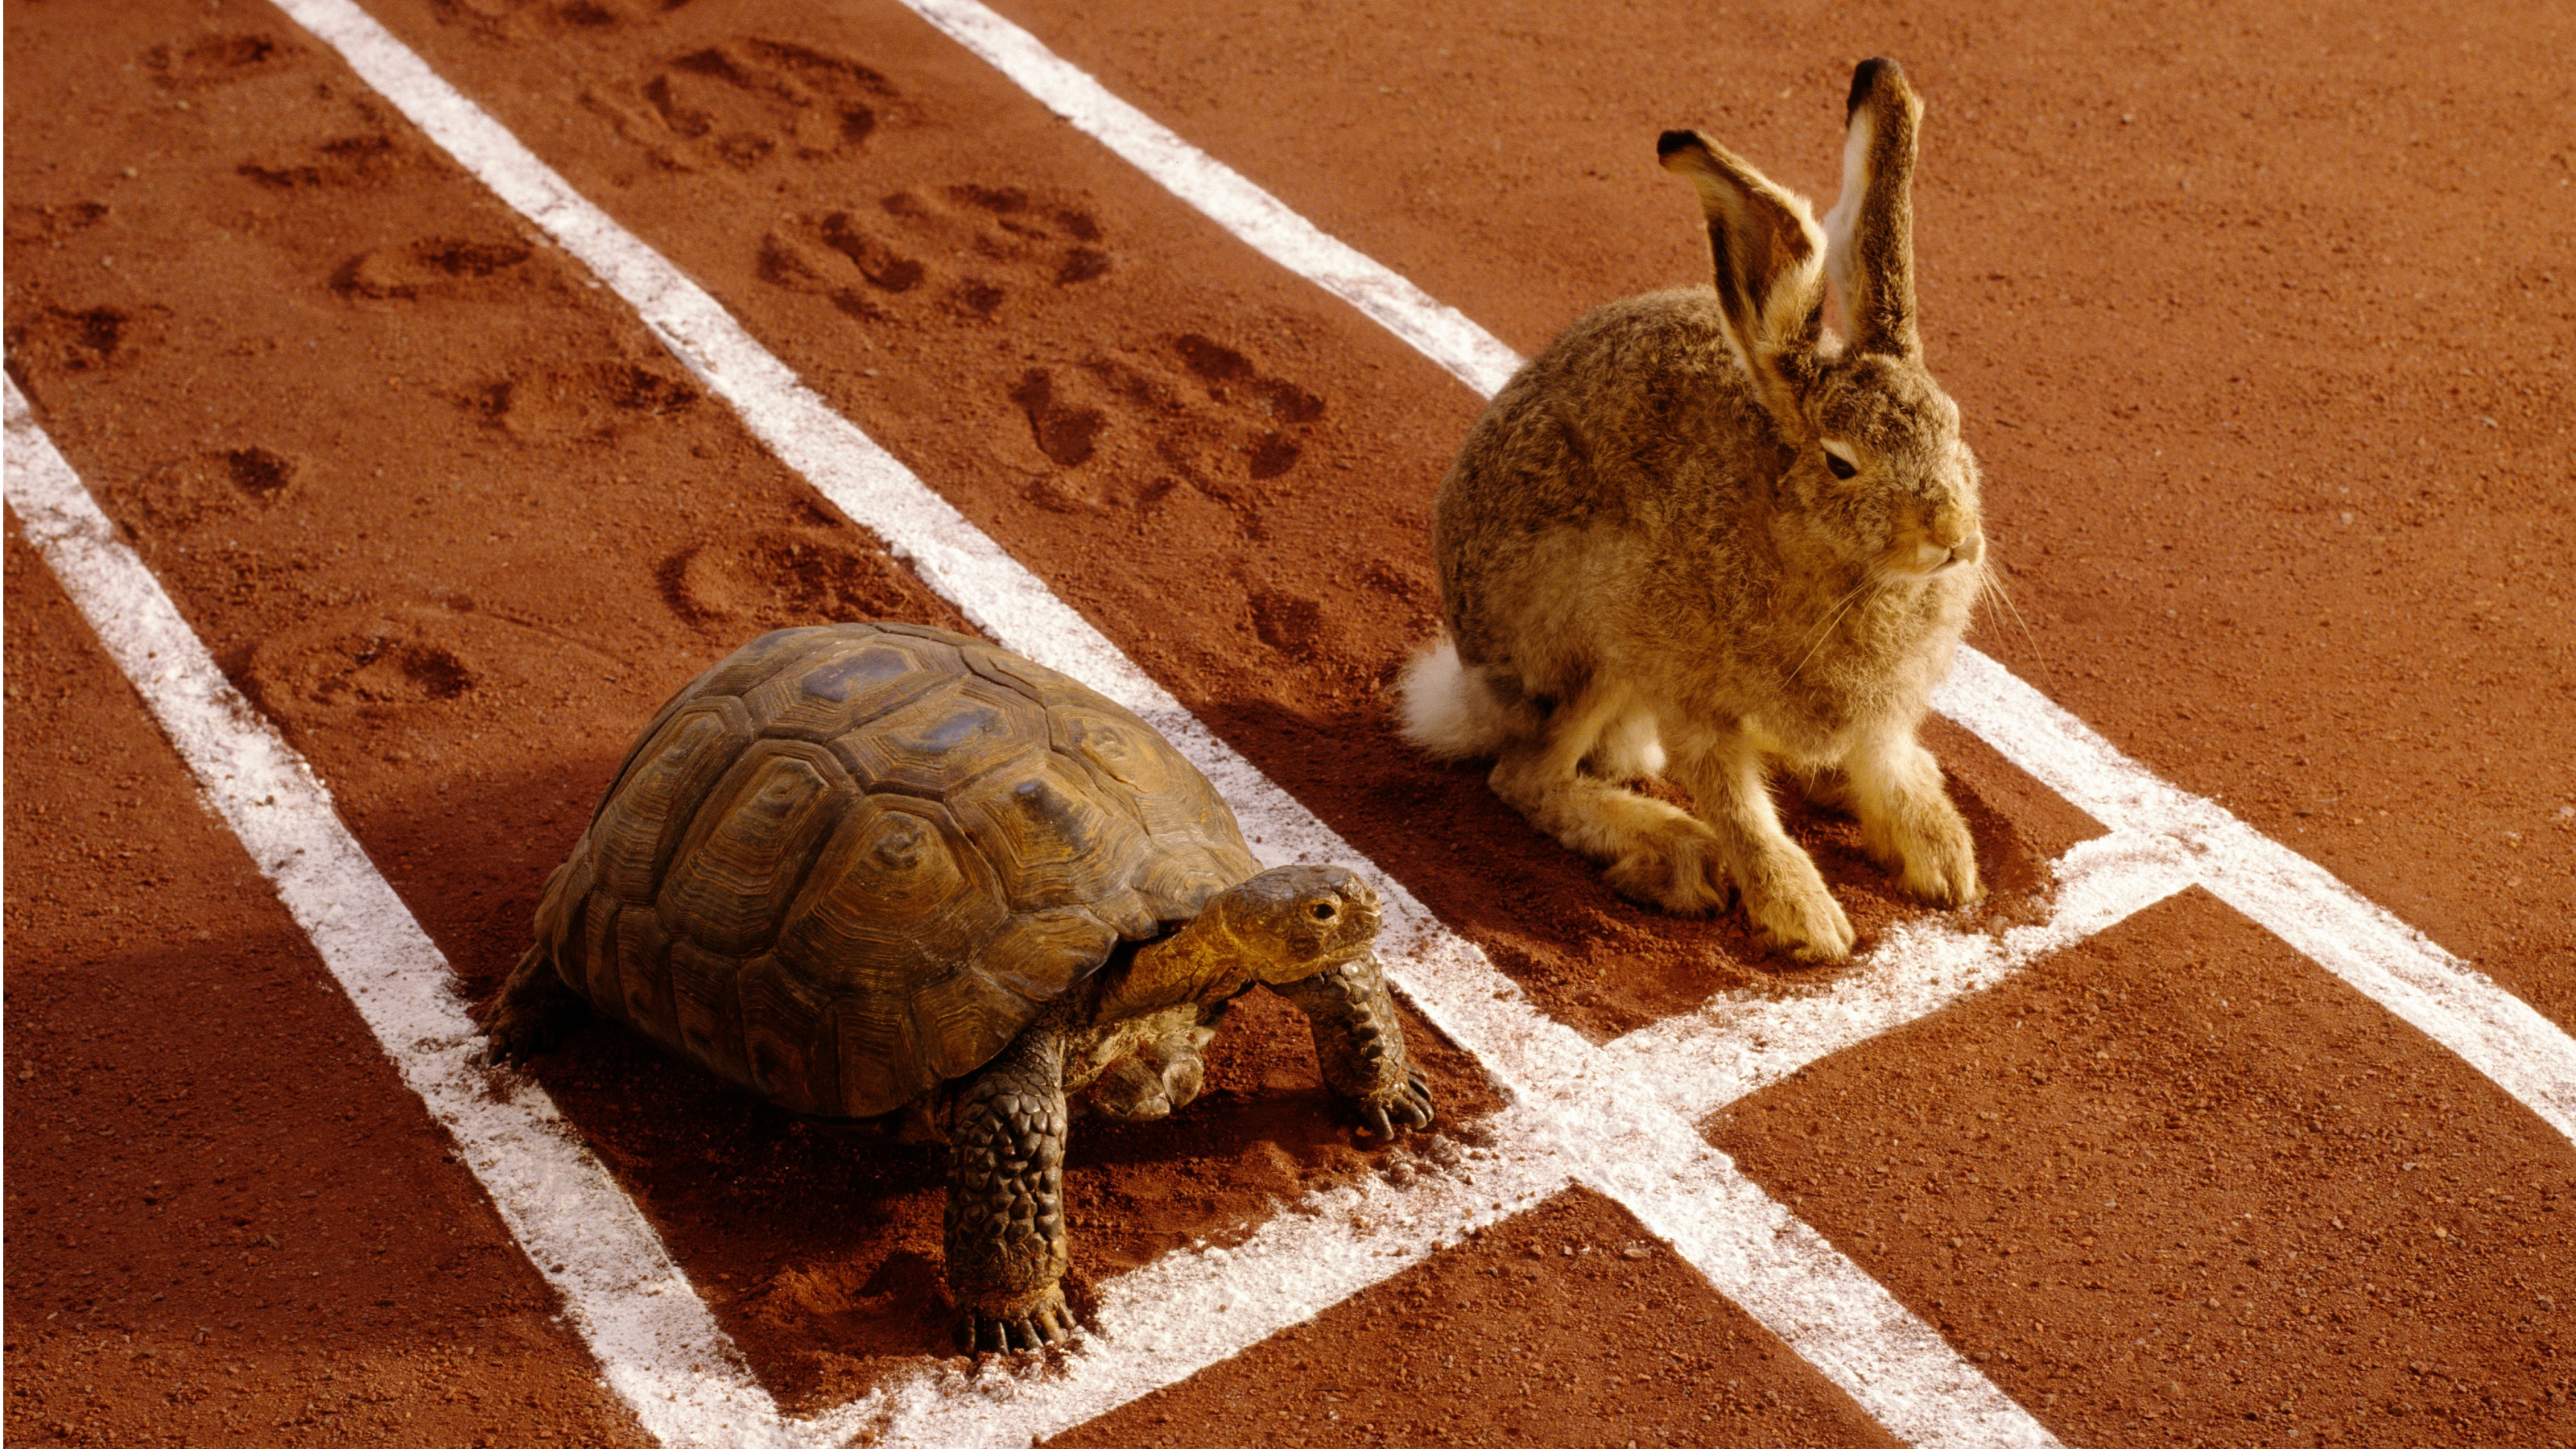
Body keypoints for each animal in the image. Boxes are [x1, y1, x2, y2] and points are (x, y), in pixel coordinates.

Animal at [1398, 57, 1987, 964]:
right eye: (1841, 463)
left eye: (1953, 426)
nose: (1954, 539)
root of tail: (1470, 686)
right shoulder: (1689, 691)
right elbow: (1739, 810)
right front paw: (1807, 921)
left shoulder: (1883, 714)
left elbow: (1886, 765)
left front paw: (1945, 862)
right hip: (1589, 639)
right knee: (1528, 775)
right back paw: (1673, 851)